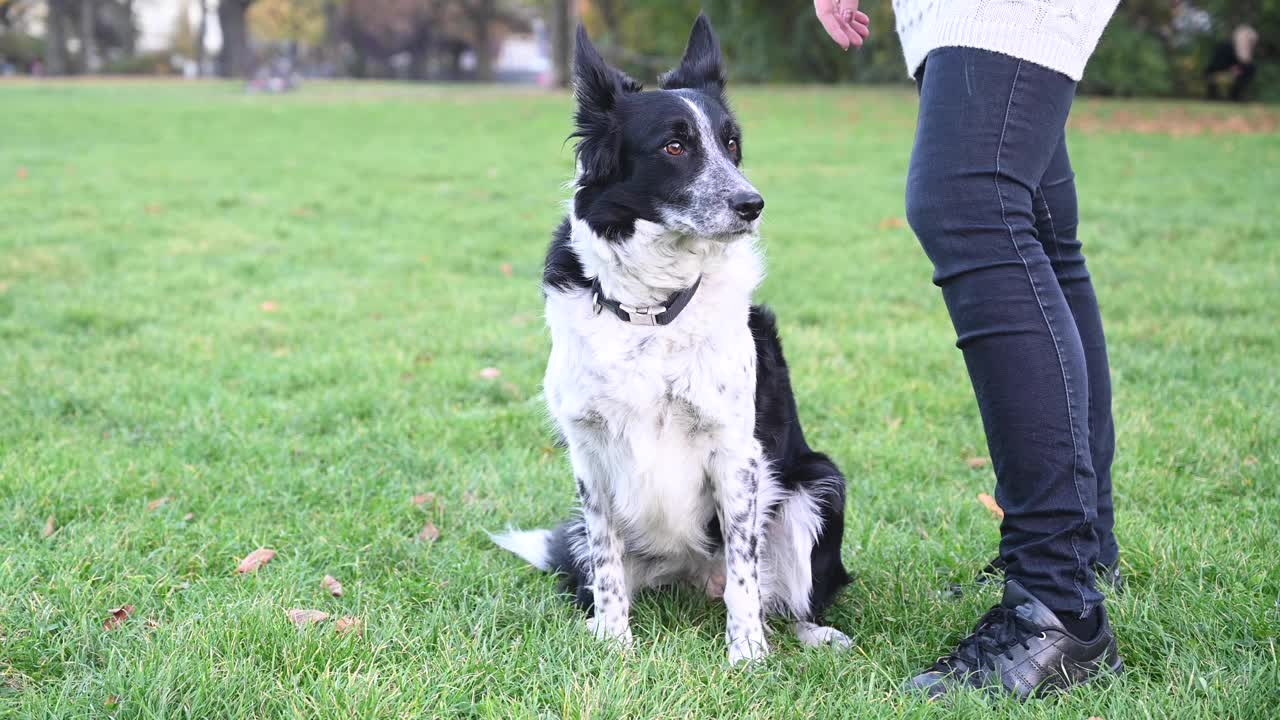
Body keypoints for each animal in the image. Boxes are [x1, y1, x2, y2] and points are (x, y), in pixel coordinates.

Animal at [494, 14, 855, 661]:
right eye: (674, 146)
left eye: (732, 144)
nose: (752, 204)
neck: (652, 309)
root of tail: (688, 575)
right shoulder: (590, 457)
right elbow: (608, 566)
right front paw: (615, 645)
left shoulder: (736, 454)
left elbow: (744, 573)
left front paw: (747, 657)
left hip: (817, 488)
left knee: (785, 594)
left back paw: (812, 633)